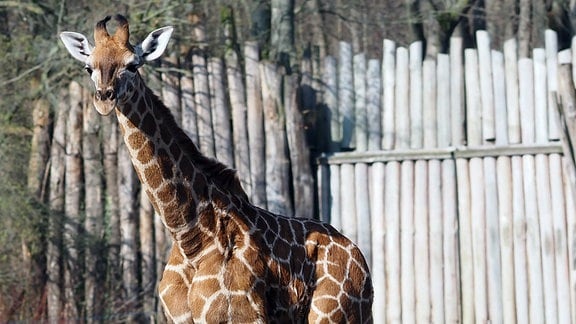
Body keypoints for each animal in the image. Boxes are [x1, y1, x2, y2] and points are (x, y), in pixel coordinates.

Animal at [59, 14, 374, 322]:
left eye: (133, 65)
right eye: (88, 67)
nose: (104, 98)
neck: (191, 240)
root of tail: (360, 259)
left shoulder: (242, 317)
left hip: (332, 315)